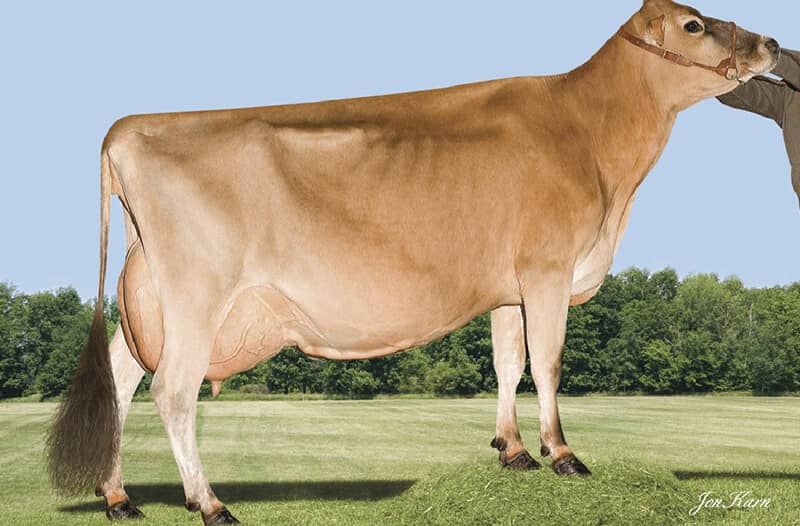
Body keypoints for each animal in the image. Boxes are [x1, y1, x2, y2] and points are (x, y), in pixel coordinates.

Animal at [46, 1, 778, 524]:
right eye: (695, 24)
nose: (772, 45)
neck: (595, 144)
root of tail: (131, 127)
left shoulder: (510, 286)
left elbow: (508, 362)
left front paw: (512, 450)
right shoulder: (547, 268)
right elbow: (547, 362)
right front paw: (562, 453)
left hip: (149, 296)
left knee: (120, 379)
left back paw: (118, 498)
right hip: (198, 294)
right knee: (172, 391)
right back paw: (210, 503)